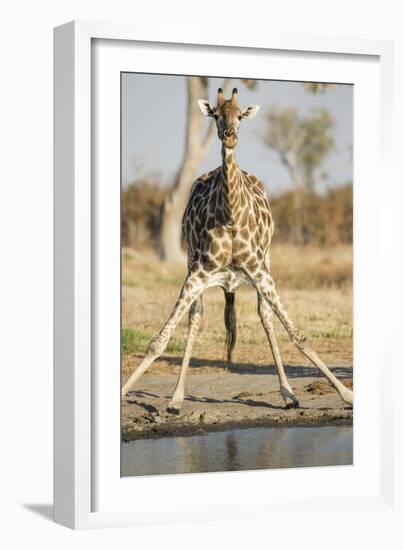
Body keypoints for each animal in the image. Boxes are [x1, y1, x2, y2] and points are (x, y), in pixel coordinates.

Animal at [122, 87, 354, 414]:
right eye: (216, 115)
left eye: (240, 115)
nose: (230, 136)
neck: (230, 215)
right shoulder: (197, 272)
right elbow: (160, 339)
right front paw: (130, 393)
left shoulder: (260, 271)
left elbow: (298, 335)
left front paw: (347, 394)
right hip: (192, 263)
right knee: (195, 318)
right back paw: (178, 397)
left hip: (266, 262)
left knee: (265, 317)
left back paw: (288, 395)